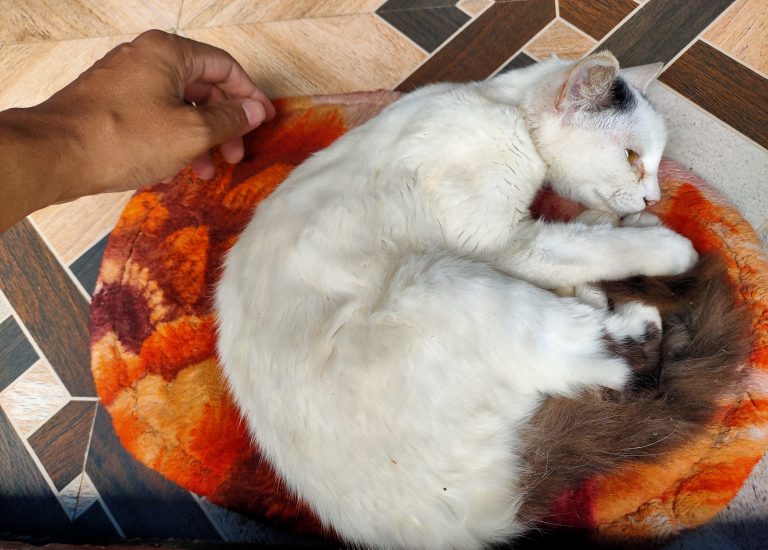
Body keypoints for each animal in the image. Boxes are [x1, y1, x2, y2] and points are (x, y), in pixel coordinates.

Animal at [213, 52, 740, 550]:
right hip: (446, 279)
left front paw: (607, 222)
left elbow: (585, 236)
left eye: (656, 161)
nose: (653, 198)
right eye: (632, 156)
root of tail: (480, 524)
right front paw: (666, 245)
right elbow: (592, 248)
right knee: (623, 361)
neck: (503, 109)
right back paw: (634, 302)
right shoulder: (502, 241)